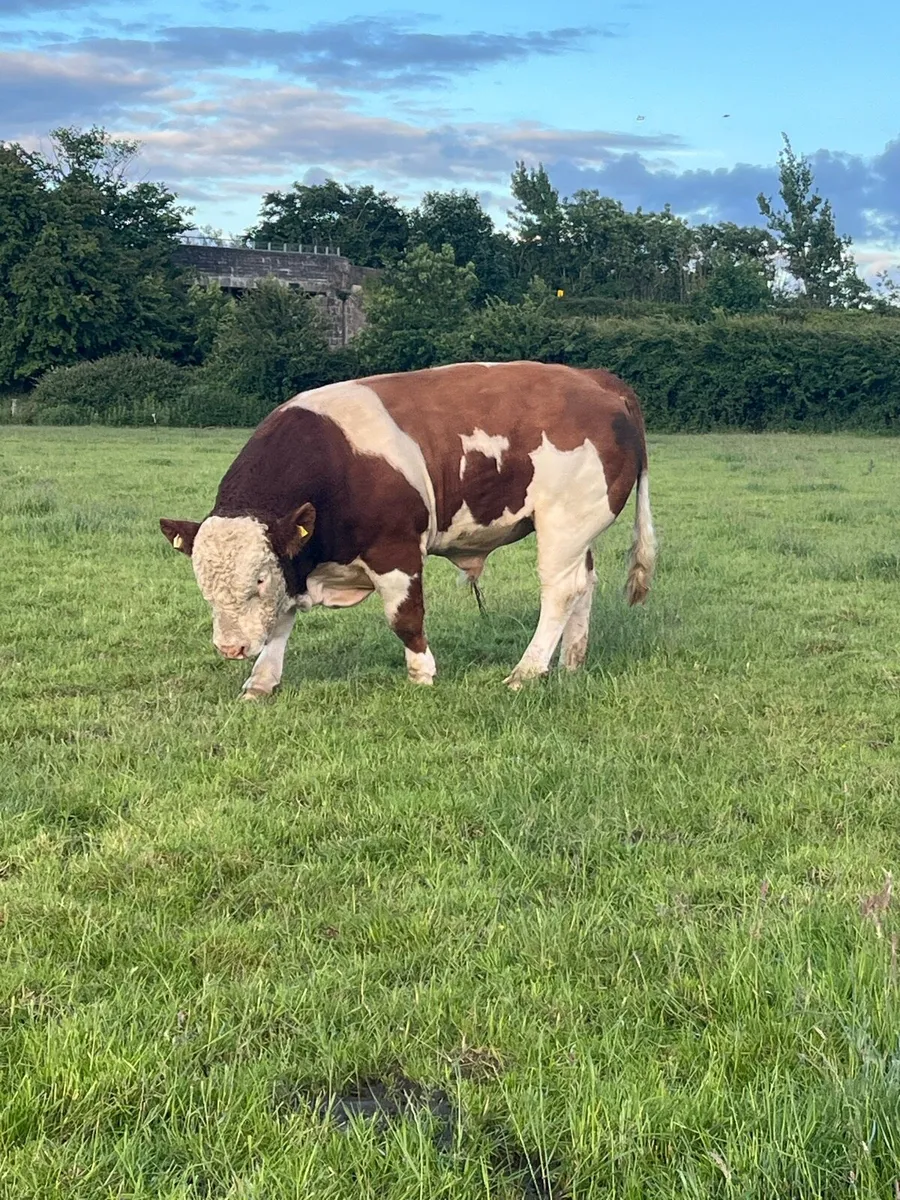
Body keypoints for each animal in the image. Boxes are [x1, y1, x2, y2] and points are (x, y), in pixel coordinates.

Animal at [159, 361, 656, 697]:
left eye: (259, 580)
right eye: (202, 584)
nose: (230, 648)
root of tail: (593, 379)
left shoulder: (396, 551)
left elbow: (404, 617)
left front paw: (422, 674)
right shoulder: (296, 560)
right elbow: (281, 621)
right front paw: (261, 680)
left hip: (563, 523)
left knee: (560, 591)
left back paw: (527, 671)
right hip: (576, 531)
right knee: (584, 584)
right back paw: (571, 661)